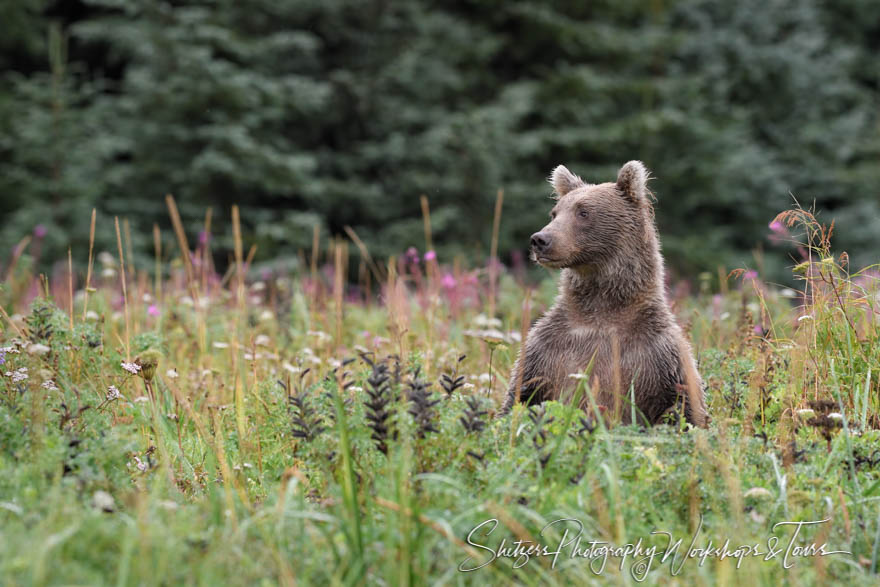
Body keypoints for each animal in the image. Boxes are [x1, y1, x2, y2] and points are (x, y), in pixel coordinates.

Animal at [502, 161, 708, 428]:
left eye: (583, 212)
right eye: (555, 213)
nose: (540, 240)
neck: (601, 310)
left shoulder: (659, 356)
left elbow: (682, 407)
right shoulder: (545, 351)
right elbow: (521, 395)